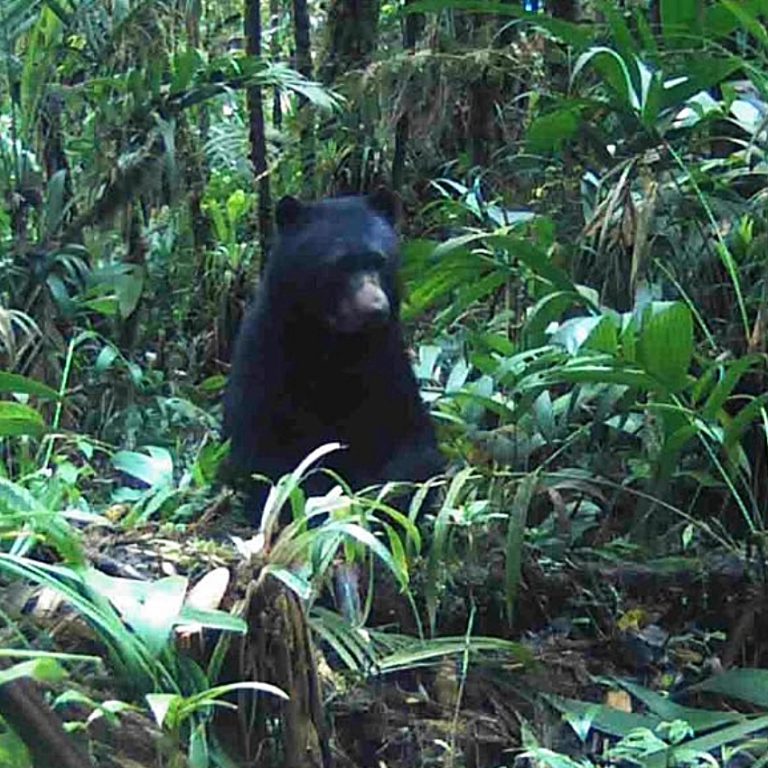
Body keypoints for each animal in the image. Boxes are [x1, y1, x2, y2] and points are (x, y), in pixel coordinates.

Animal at [223, 190, 444, 522]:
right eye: (340, 265)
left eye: (379, 260)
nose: (376, 309)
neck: (336, 343)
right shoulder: (266, 358)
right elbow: (264, 457)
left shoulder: (387, 361)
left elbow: (416, 447)